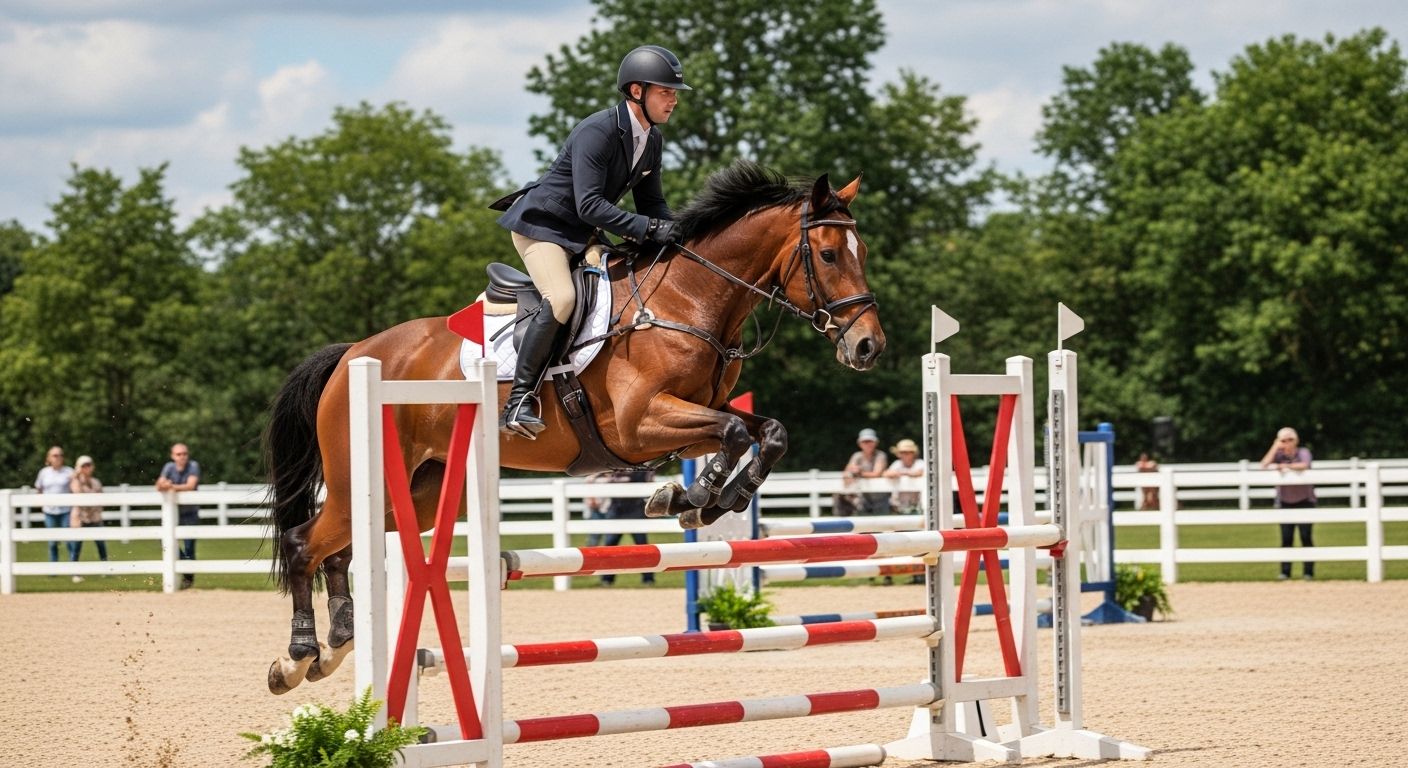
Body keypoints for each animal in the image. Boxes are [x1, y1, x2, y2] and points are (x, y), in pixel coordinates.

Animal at [262, 160, 886, 694]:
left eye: (861, 251)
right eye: (829, 254)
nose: (868, 347)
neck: (687, 300)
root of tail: (354, 354)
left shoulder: (701, 411)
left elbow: (767, 432)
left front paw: (704, 498)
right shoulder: (639, 424)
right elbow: (733, 435)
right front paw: (694, 499)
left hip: (419, 488)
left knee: (339, 551)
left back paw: (335, 646)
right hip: (359, 478)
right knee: (303, 544)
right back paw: (296, 657)